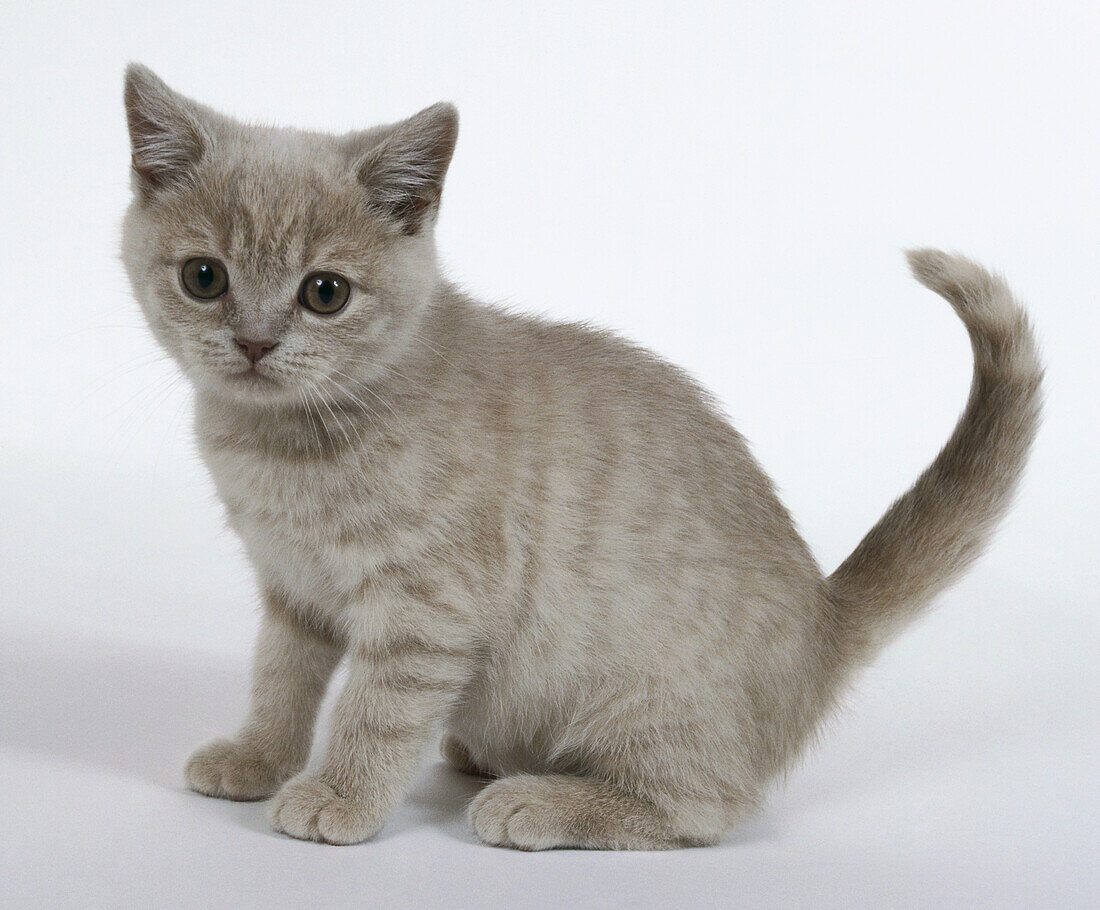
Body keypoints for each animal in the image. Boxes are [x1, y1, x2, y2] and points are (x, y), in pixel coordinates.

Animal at [120, 65, 1038, 853]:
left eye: (325, 293)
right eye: (204, 277)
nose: (254, 343)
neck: (282, 443)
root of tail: (824, 622)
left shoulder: (429, 606)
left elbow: (377, 708)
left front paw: (341, 794)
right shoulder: (293, 588)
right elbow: (281, 678)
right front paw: (257, 756)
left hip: (647, 697)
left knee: (708, 808)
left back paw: (544, 801)